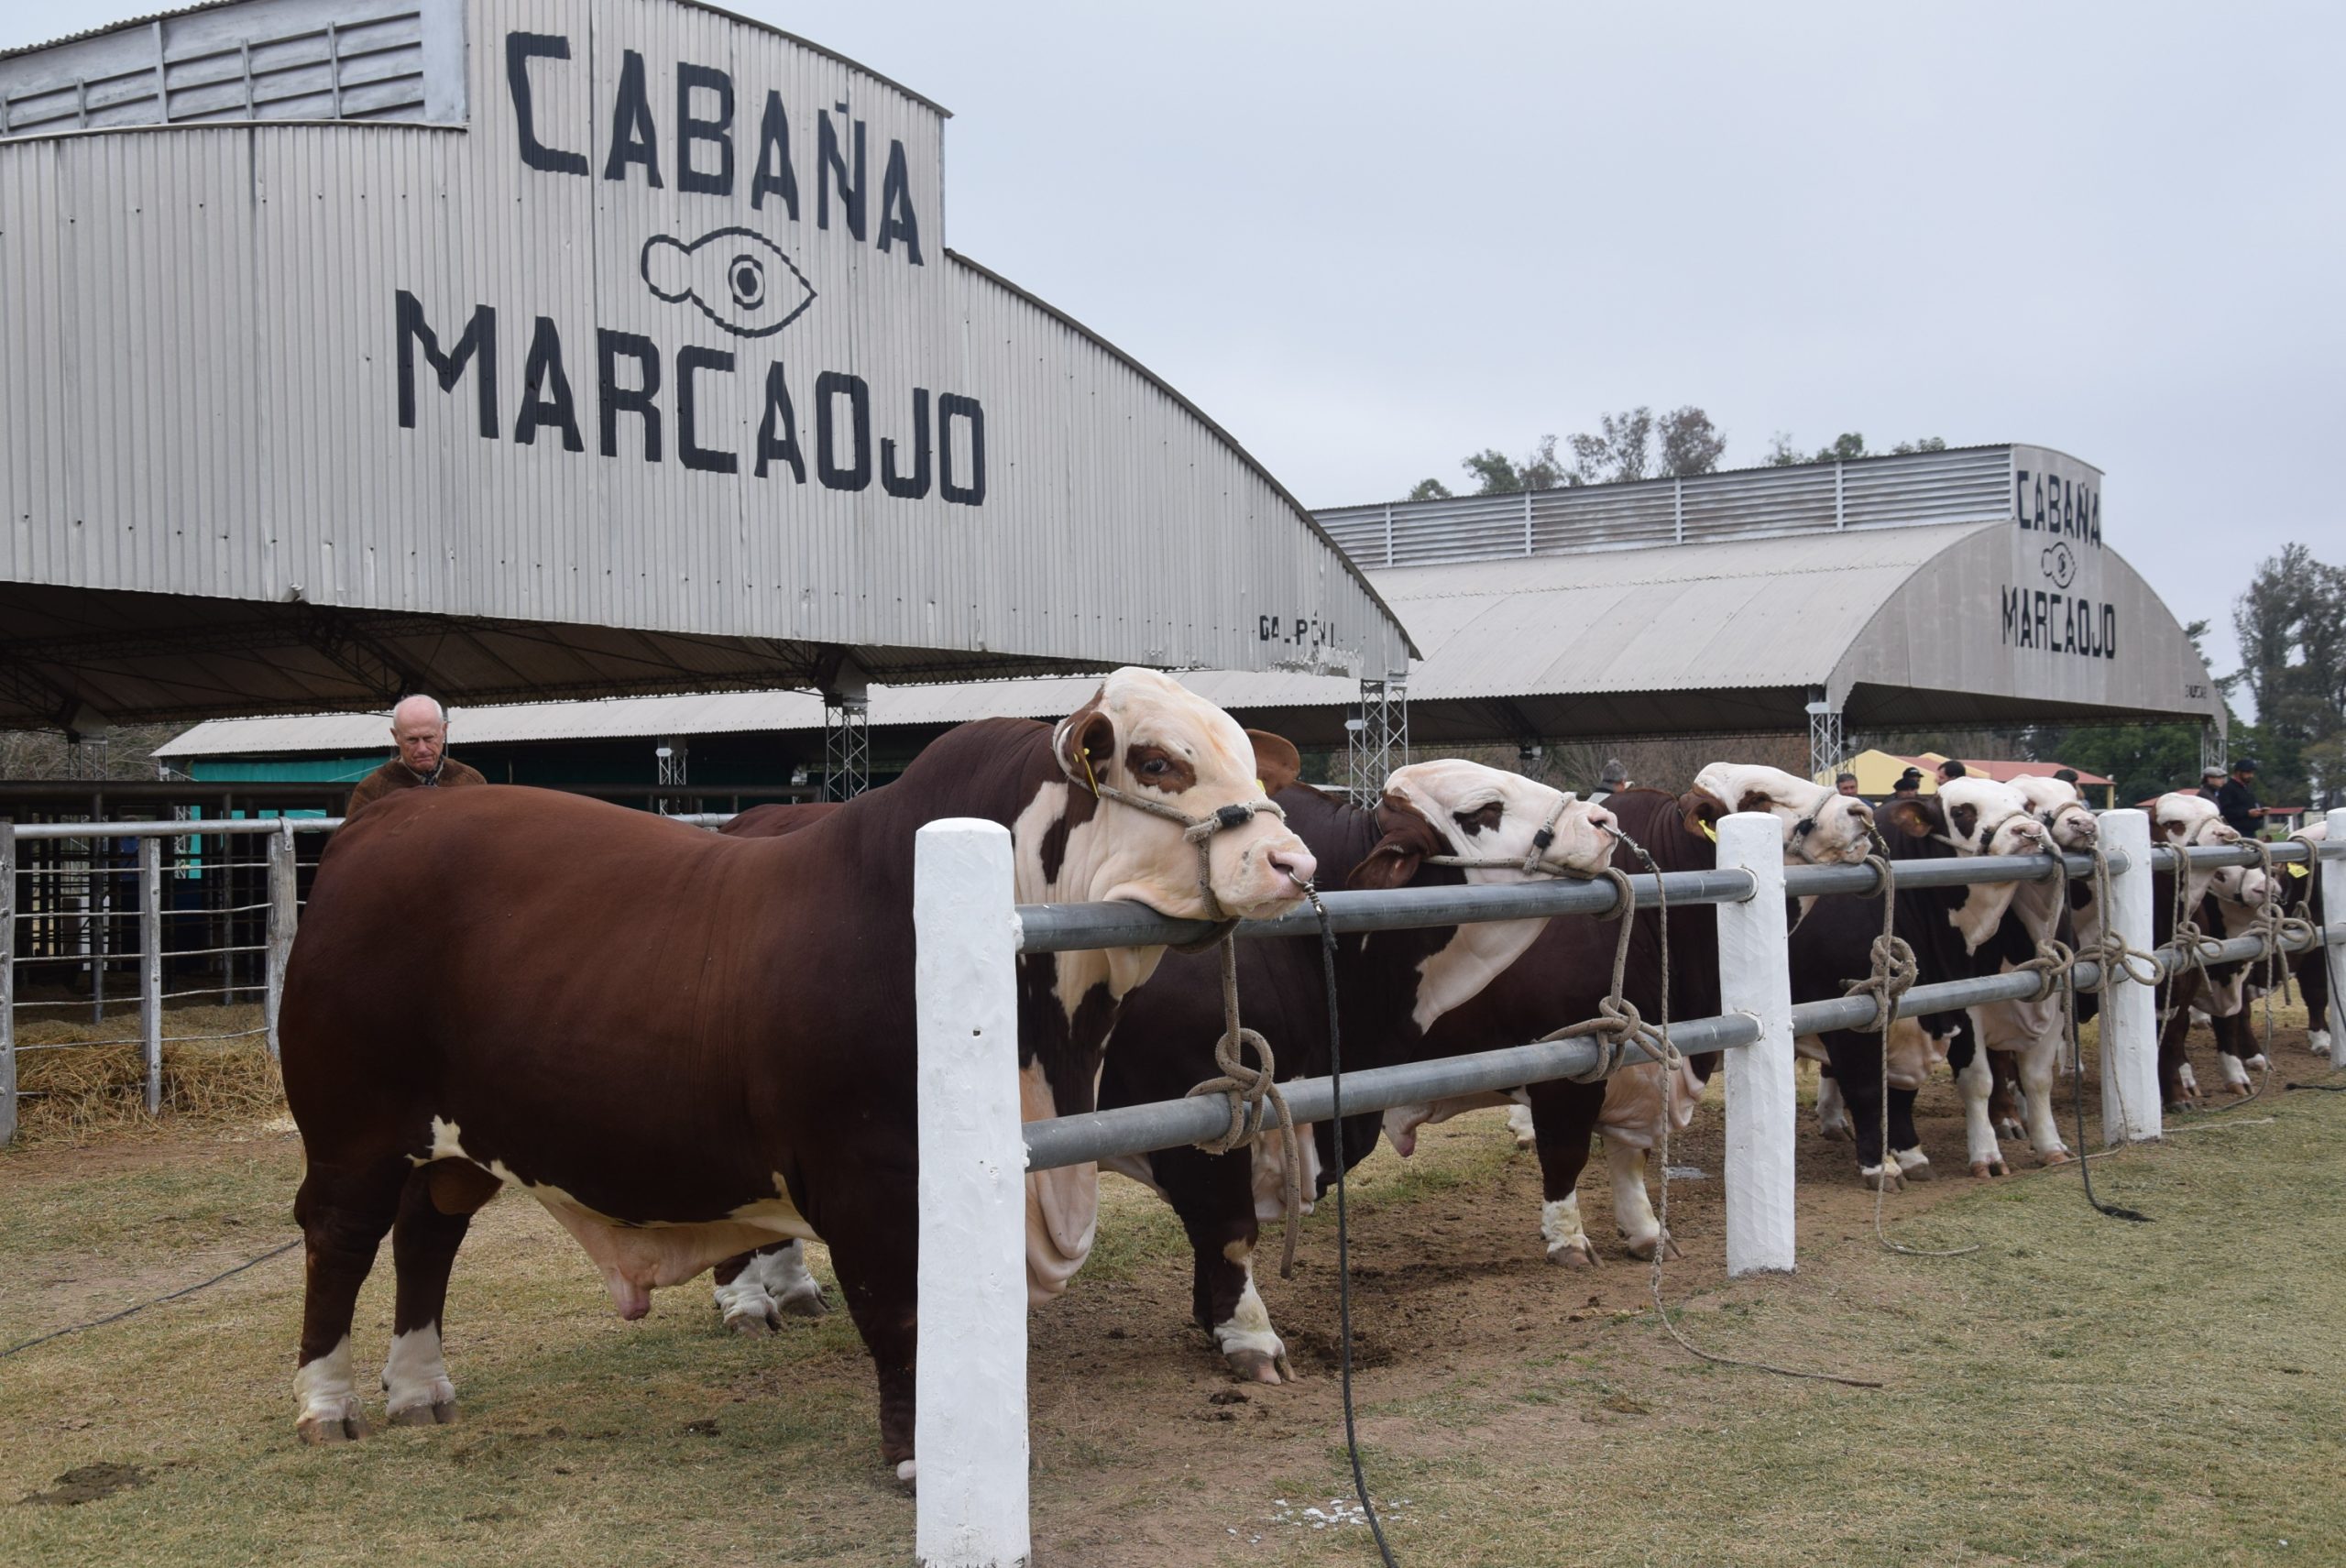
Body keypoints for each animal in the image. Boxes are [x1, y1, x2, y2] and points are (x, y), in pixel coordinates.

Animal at [274, 671, 1322, 1474]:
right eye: (1158, 761)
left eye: (1240, 754)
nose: (1291, 860)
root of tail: (386, 821)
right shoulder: (871, 1179)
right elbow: (903, 1315)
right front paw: (920, 1459)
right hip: (352, 1125)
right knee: (341, 1237)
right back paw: (328, 1404)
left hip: (453, 1138)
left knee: (428, 1230)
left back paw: (420, 1386)